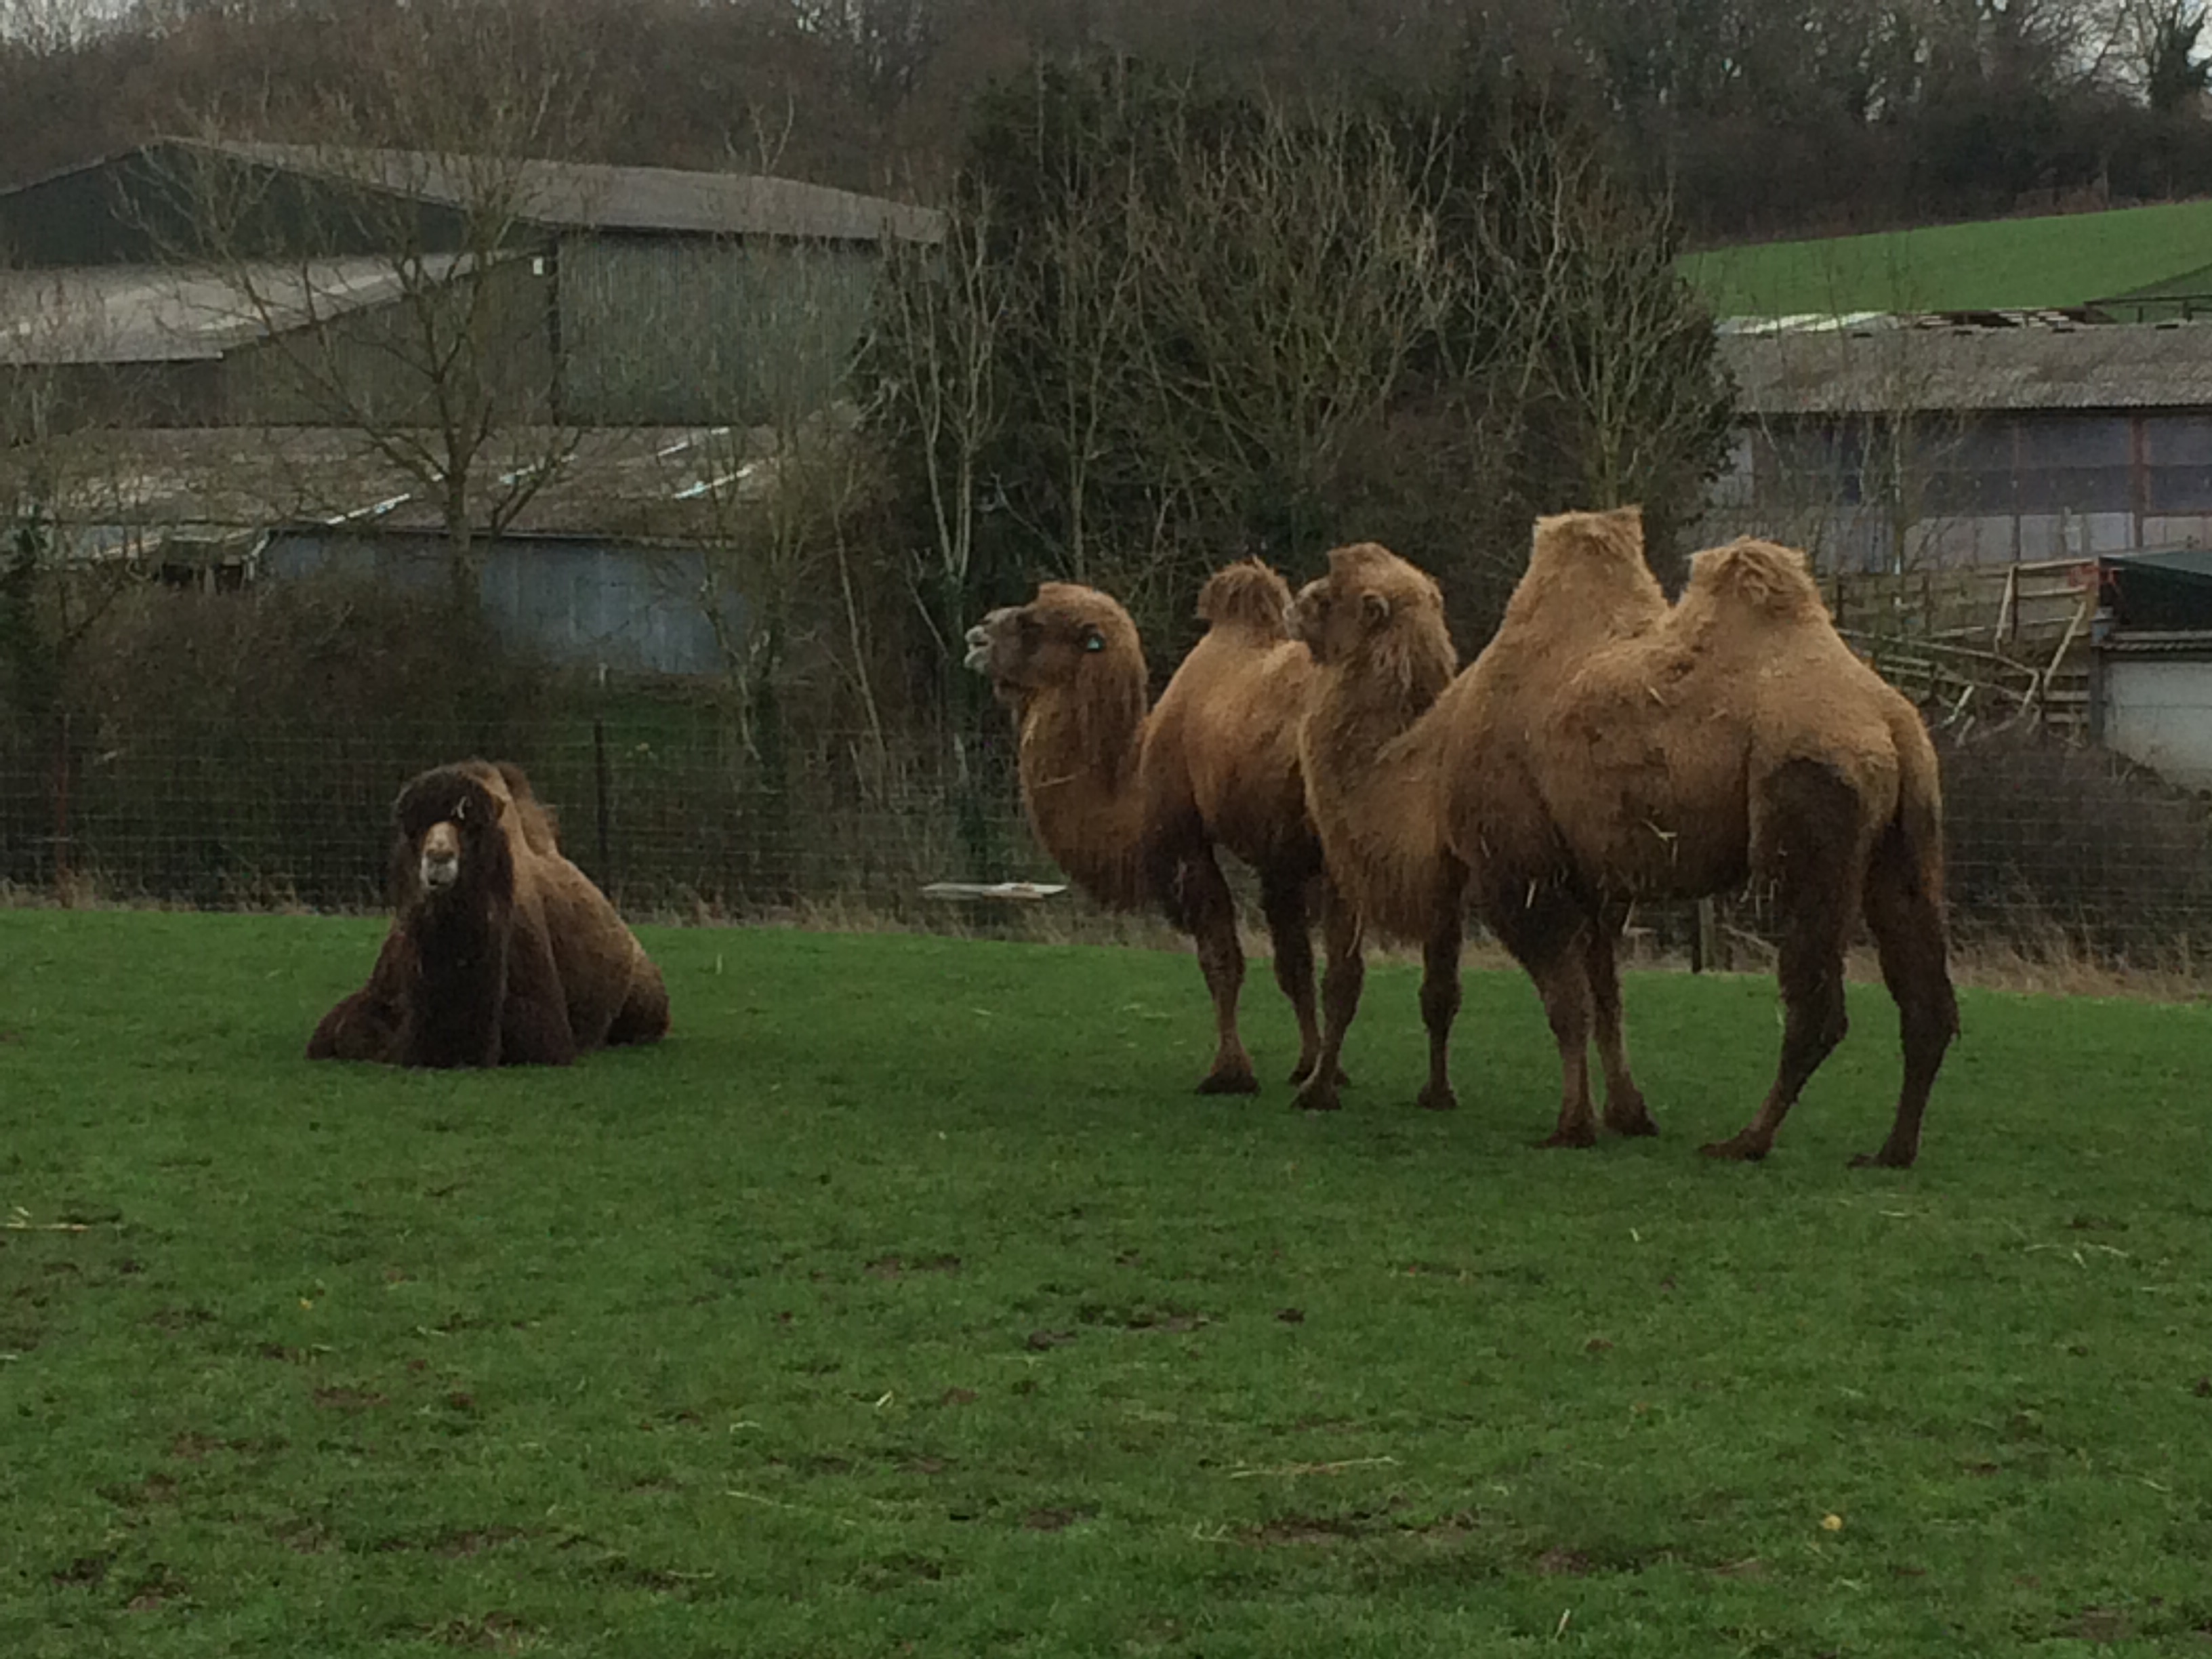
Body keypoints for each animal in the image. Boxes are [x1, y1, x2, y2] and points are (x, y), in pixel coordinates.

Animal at [964, 563, 1363, 1104]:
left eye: (1033, 624)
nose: (978, 635)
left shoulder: (1184, 837)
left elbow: (1221, 958)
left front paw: (1230, 1073)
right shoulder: (1279, 859)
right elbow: (1294, 965)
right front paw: (1313, 1065)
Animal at [1291, 509, 1958, 1166]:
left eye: (1327, 597)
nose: (1294, 607)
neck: (1427, 768)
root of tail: (1892, 720)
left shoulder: (1516, 875)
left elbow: (1567, 1007)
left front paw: (1571, 1125)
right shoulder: (1593, 877)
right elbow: (1607, 997)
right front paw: (1627, 1114)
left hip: (1812, 814)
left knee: (1817, 1005)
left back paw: (1746, 1140)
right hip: (1906, 838)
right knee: (1926, 998)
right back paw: (1892, 1150)